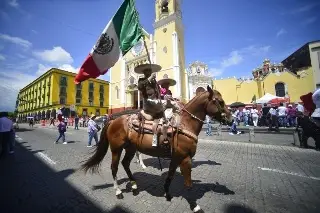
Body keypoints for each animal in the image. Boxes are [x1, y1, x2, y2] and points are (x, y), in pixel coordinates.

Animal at [81, 85, 231, 213]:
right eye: (220, 101)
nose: (230, 118)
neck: (184, 124)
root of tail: (113, 120)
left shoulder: (176, 158)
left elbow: (170, 176)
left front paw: (167, 193)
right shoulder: (185, 159)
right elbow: (188, 184)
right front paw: (195, 206)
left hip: (130, 148)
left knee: (125, 164)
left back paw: (134, 186)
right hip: (116, 149)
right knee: (114, 168)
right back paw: (118, 192)